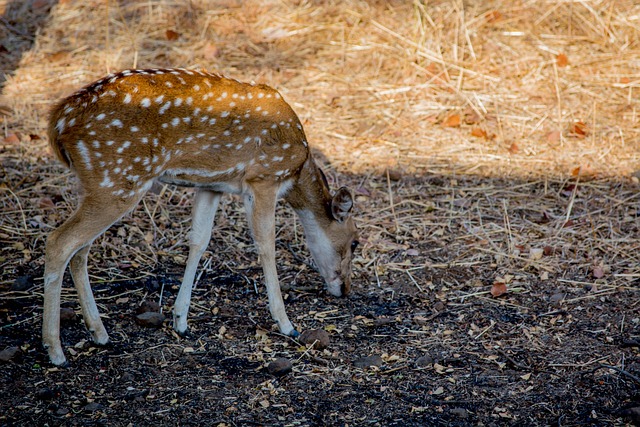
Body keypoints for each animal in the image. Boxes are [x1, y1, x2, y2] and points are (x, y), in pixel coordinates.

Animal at [42, 68, 358, 366]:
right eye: (355, 242)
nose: (345, 289)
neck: (296, 171)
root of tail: (58, 122)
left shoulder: (211, 185)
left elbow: (199, 240)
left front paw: (180, 320)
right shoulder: (264, 177)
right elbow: (266, 244)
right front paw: (286, 323)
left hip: (96, 184)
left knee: (80, 250)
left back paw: (99, 333)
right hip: (118, 178)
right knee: (59, 241)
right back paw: (55, 351)